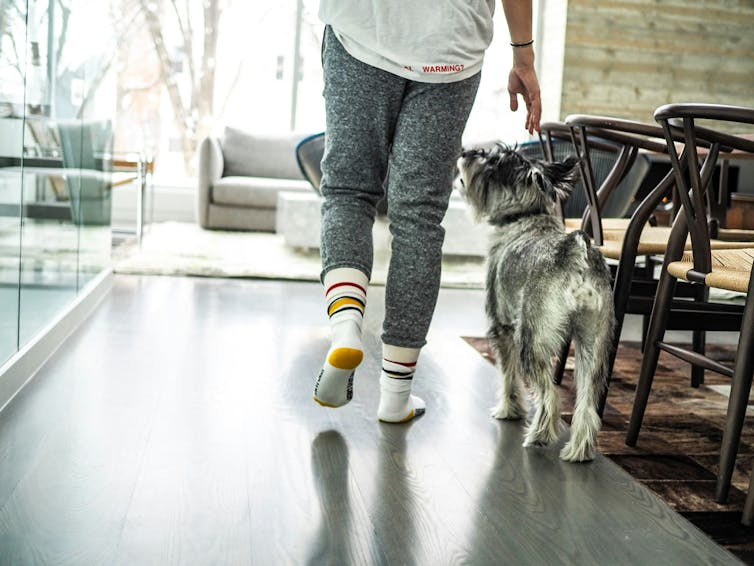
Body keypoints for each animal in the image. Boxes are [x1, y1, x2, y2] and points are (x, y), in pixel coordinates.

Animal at [456, 144, 612, 464]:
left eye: (492, 160)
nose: (465, 152)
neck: (524, 217)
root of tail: (577, 252)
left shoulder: (503, 328)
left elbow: (508, 376)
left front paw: (508, 410)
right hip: (594, 344)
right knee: (586, 403)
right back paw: (579, 450)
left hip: (532, 340)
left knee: (549, 394)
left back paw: (538, 436)